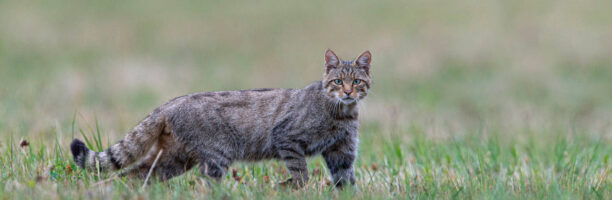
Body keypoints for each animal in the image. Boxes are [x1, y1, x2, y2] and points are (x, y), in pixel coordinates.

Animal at [69, 49, 370, 188]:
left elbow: (347, 182)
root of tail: (169, 103)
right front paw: (293, 188)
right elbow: (301, 174)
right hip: (215, 158)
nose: (347, 92)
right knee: (203, 186)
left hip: (174, 159)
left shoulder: (342, 153)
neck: (342, 113)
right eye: (337, 81)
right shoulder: (287, 138)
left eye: (357, 81)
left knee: (134, 174)